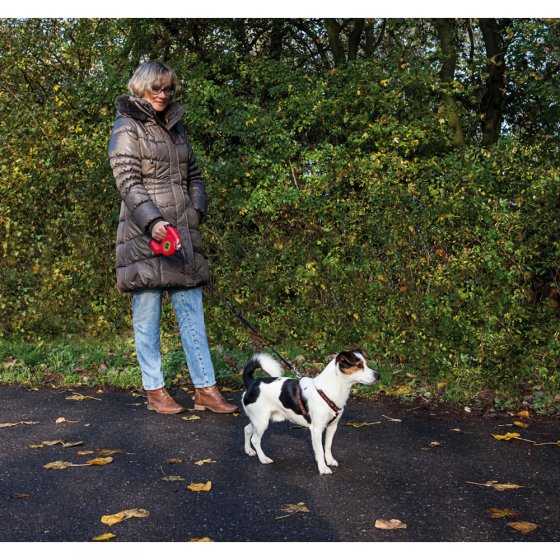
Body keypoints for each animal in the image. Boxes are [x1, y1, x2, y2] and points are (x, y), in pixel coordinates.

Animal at [242, 350, 380, 472]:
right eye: (359, 366)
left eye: (366, 364)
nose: (378, 375)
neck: (331, 389)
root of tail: (252, 383)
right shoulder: (316, 429)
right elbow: (319, 450)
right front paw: (323, 468)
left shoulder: (332, 426)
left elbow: (327, 446)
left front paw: (329, 460)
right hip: (262, 422)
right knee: (255, 439)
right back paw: (263, 458)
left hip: (260, 420)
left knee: (247, 429)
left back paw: (248, 450)